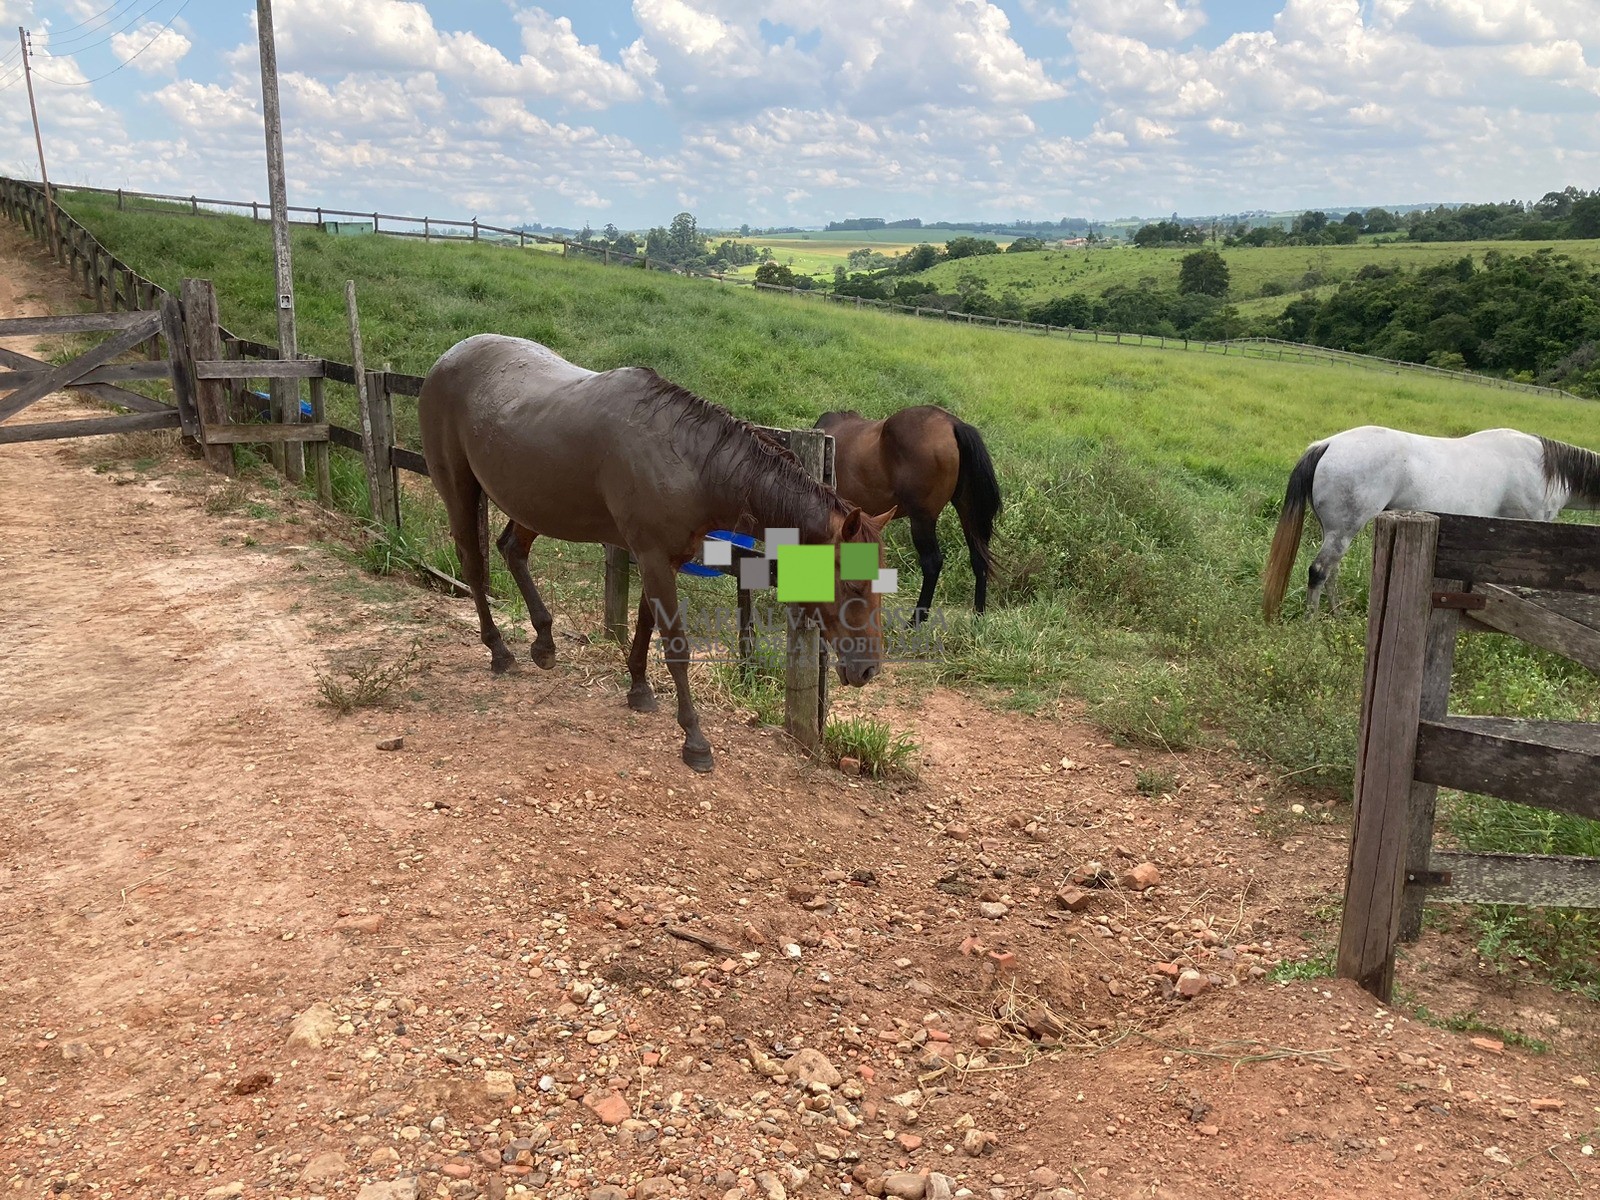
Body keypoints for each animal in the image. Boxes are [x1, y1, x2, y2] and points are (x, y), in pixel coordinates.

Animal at [422, 334, 902, 774]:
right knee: (474, 566)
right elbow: (675, 647)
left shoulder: (662, 559)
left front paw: (638, 690)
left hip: (534, 504)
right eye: (853, 585)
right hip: (460, 489)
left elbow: (645, 623)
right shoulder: (652, 557)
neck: (691, 462)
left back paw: (544, 643)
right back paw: (499, 651)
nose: (867, 670)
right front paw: (695, 741)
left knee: (512, 551)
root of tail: (448, 358)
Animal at [812, 409, 998, 624]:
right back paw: (978, 616)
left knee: (932, 563)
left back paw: (915, 620)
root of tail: (952, 423)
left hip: (921, 519)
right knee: (979, 558)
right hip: (967, 512)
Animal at [1260, 428, 1600, 620]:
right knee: (1319, 571)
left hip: (1336, 532)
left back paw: (1337, 615)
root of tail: (1328, 444)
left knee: (1331, 572)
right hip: (1343, 530)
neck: (1544, 469)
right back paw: (1312, 624)